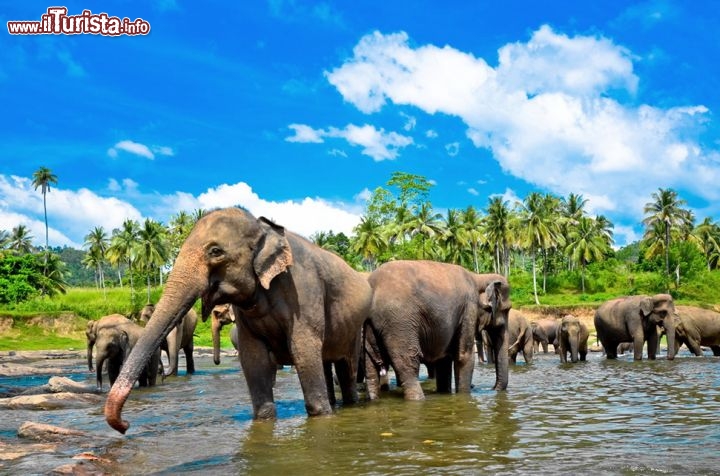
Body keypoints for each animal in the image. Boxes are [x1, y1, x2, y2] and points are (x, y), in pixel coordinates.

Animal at [108, 206, 376, 434]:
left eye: (215, 251)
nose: (125, 425)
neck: (263, 227)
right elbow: (253, 358)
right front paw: (264, 419)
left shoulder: (304, 292)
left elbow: (303, 350)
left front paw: (321, 415)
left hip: (354, 327)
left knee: (346, 367)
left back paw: (350, 403)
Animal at [362, 260, 510, 402]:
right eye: (506, 310)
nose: (492, 388)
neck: (478, 277)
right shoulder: (469, 308)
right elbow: (463, 356)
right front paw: (464, 397)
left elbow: (443, 360)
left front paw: (445, 393)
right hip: (399, 322)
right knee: (408, 364)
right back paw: (418, 399)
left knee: (371, 366)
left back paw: (374, 399)